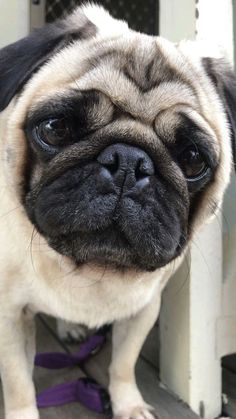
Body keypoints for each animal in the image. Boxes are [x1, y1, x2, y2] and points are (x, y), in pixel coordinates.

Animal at [0, 4, 235, 419]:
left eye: (193, 160)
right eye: (56, 128)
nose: (128, 162)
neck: (90, 269)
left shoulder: (142, 310)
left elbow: (123, 364)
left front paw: (129, 405)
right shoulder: (11, 316)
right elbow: (19, 385)